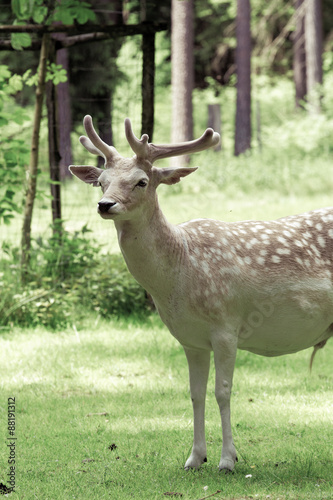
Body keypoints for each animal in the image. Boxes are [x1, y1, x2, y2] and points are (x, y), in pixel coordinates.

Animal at [68, 116, 330, 472]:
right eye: (101, 182)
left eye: (141, 182)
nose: (105, 204)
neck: (180, 275)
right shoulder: (190, 339)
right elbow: (195, 393)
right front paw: (194, 458)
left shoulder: (226, 326)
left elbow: (223, 391)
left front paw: (228, 460)